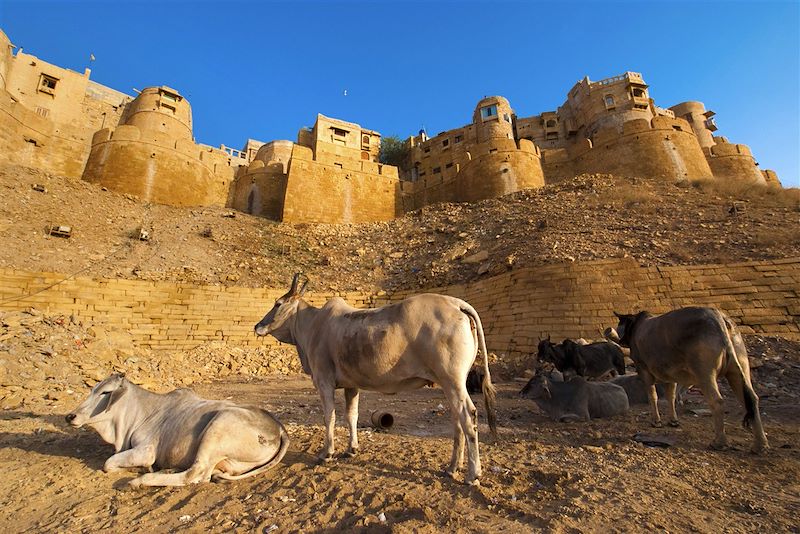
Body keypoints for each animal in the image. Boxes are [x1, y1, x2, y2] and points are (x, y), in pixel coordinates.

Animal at [65, 374, 290, 488]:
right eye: (92, 390)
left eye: (105, 392)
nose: (70, 416)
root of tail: (279, 428)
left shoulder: (146, 450)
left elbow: (108, 464)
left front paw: (141, 470)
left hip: (218, 427)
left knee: (195, 474)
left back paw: (141, 481)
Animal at [255, 274, 494, 488]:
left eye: (277, 303)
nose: (257, 326)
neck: (313, 325)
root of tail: (456, 304)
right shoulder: (351, 385)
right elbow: (351, 416)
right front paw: (351, 449)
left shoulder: (324, 382)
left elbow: (329, 417)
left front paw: (327, 453)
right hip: (449, 384)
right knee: (457, 420)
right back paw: (452, 467)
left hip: (452, 381)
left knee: (468, 417)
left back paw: (472, 474)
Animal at [612, 308, 768, 454]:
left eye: (620, 324)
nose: (620, 341)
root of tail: (718, 317)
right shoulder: (670, 372)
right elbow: (671, 395)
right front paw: (673, 420)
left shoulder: (643, 368)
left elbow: (653, 396)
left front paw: (656, 421)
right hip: (739, 362)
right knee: (751, 398)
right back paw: (760, 445)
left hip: (703, 370)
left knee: (717, 401)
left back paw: (719, 442)